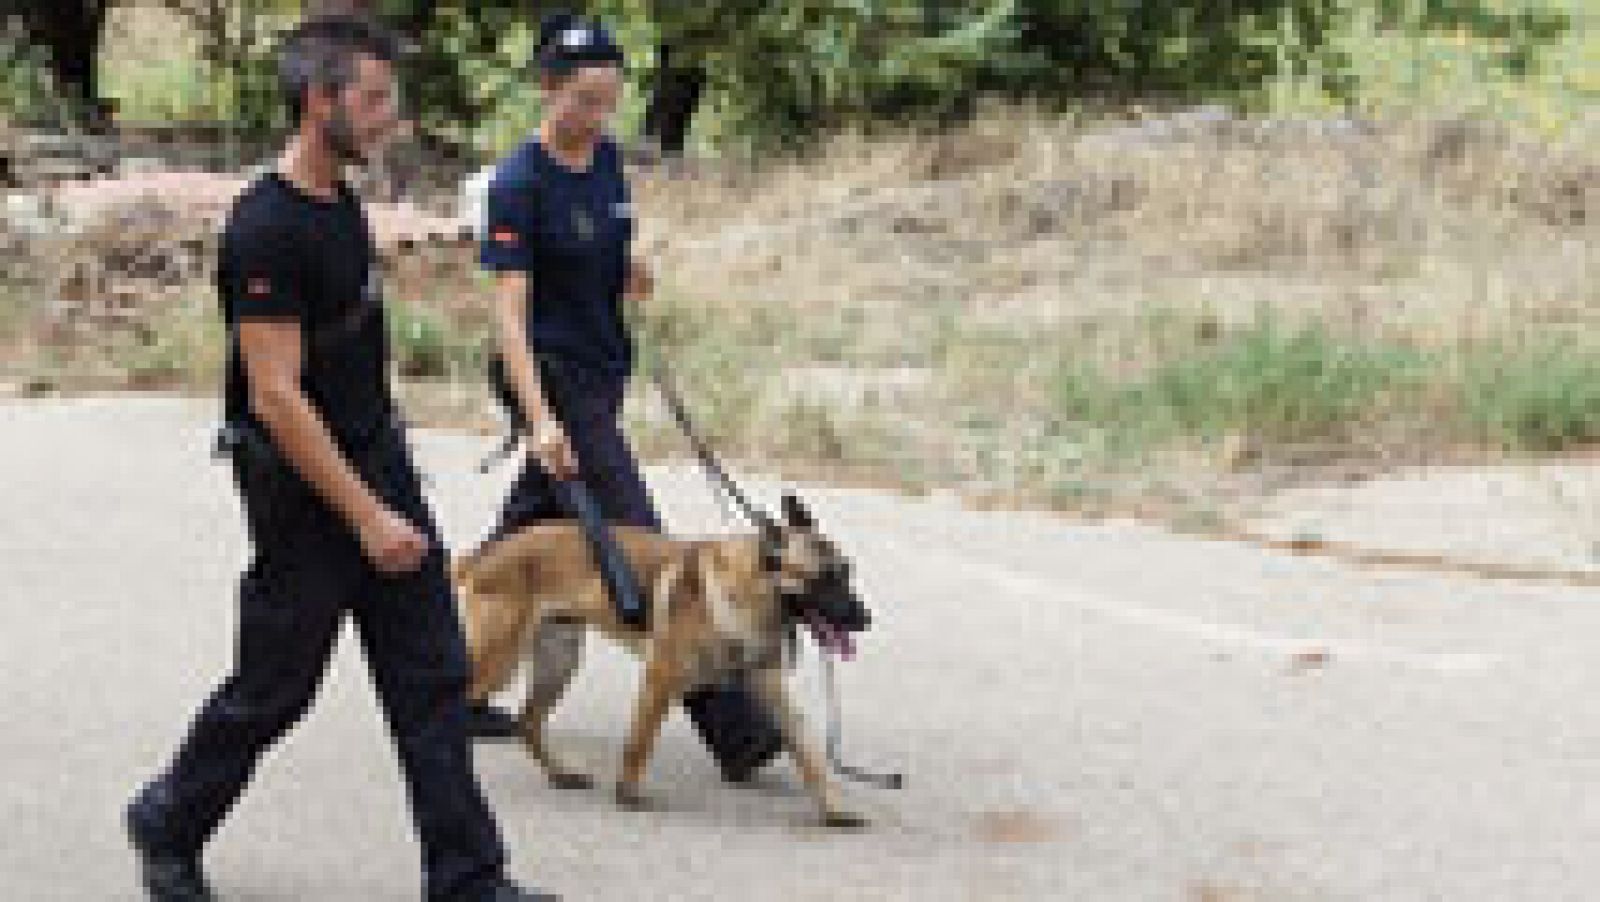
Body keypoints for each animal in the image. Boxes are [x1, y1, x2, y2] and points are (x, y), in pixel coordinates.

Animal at [451, 489, 876, 825]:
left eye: (847, 572)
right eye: (824, 579)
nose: (867, 619)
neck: (752, 588)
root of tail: (486, 554)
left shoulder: (773, 691)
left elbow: (808, 755)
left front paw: (834, 809)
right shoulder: (659, 677)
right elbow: (640, 742)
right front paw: (627, 794)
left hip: (560, 661)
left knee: (528, 721)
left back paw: (561, 774)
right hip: (499, 663)